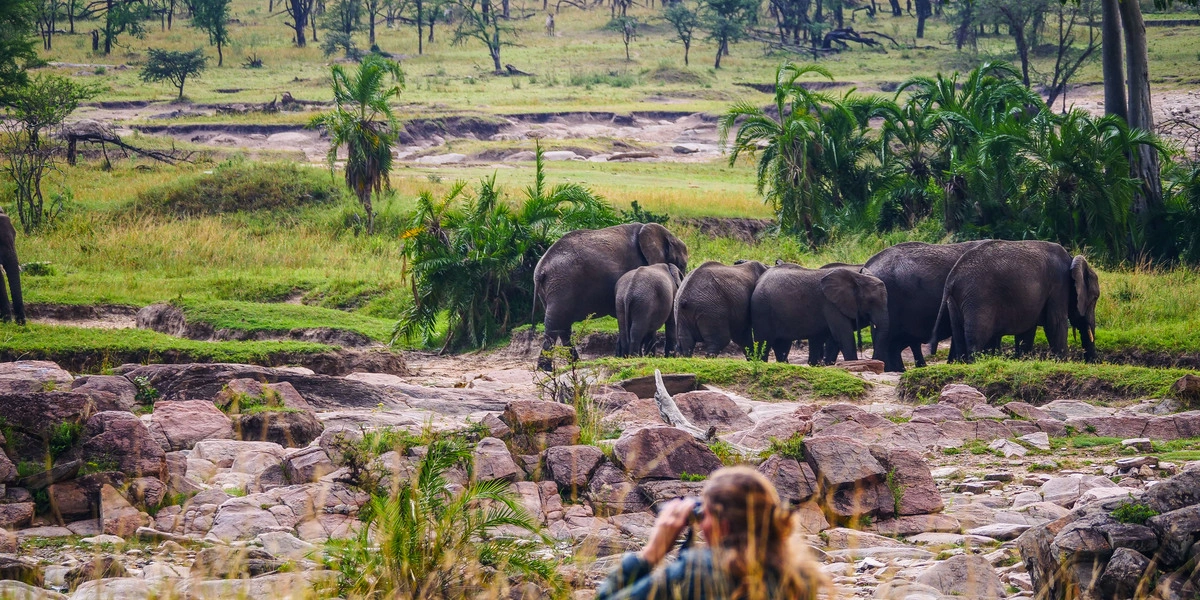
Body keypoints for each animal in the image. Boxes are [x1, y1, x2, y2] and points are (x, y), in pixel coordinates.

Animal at [532, 223, 691, 367]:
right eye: (682, 265)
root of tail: (541, 269)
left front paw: (621, 356)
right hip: (561, 285)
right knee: (554, 325)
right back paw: (546, 368)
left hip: (552, 288)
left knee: (563, 327)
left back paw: (574, 363)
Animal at [748, 264, 892, 364]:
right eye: (871, 301)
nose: (875, 360)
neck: (857, 277)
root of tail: (759, 281)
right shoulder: (830, 304)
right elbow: (843, 334)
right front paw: (852, 363)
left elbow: (833, 337)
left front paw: (829, 364)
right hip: (762, 310)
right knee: (764, 342)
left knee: (782, 345)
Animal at [931, 241, 1099, 362]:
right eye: (1095, 298)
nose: (1092, 362)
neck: (1072, 260)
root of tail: (952, 277)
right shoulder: (1059, 286)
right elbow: (1055, 324)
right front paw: (1061, 362)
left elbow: (1027, 331)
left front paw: (1023, 359)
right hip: (977, 298)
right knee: (977, 337)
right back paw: (977, 362)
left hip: (955, 301)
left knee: (958, 335)